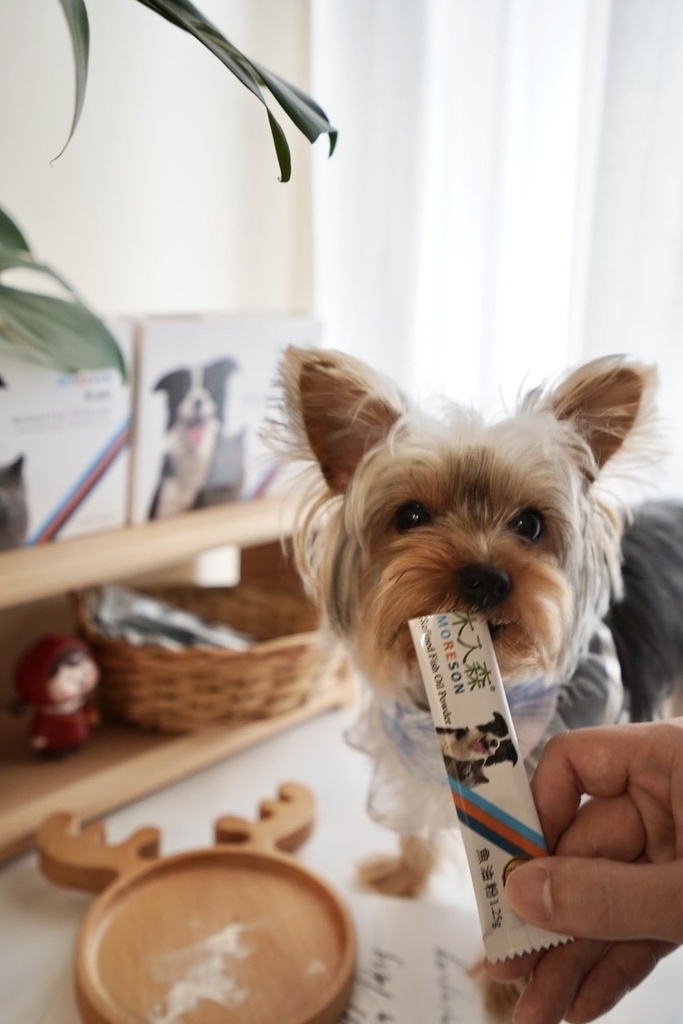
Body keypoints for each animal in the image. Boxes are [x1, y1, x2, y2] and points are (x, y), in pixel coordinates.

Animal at [270, 350, 683, 1015]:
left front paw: (508, 985)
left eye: (531, 525)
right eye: (410, 515)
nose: (487, 577)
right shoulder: (407, 756)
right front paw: (402, 878)